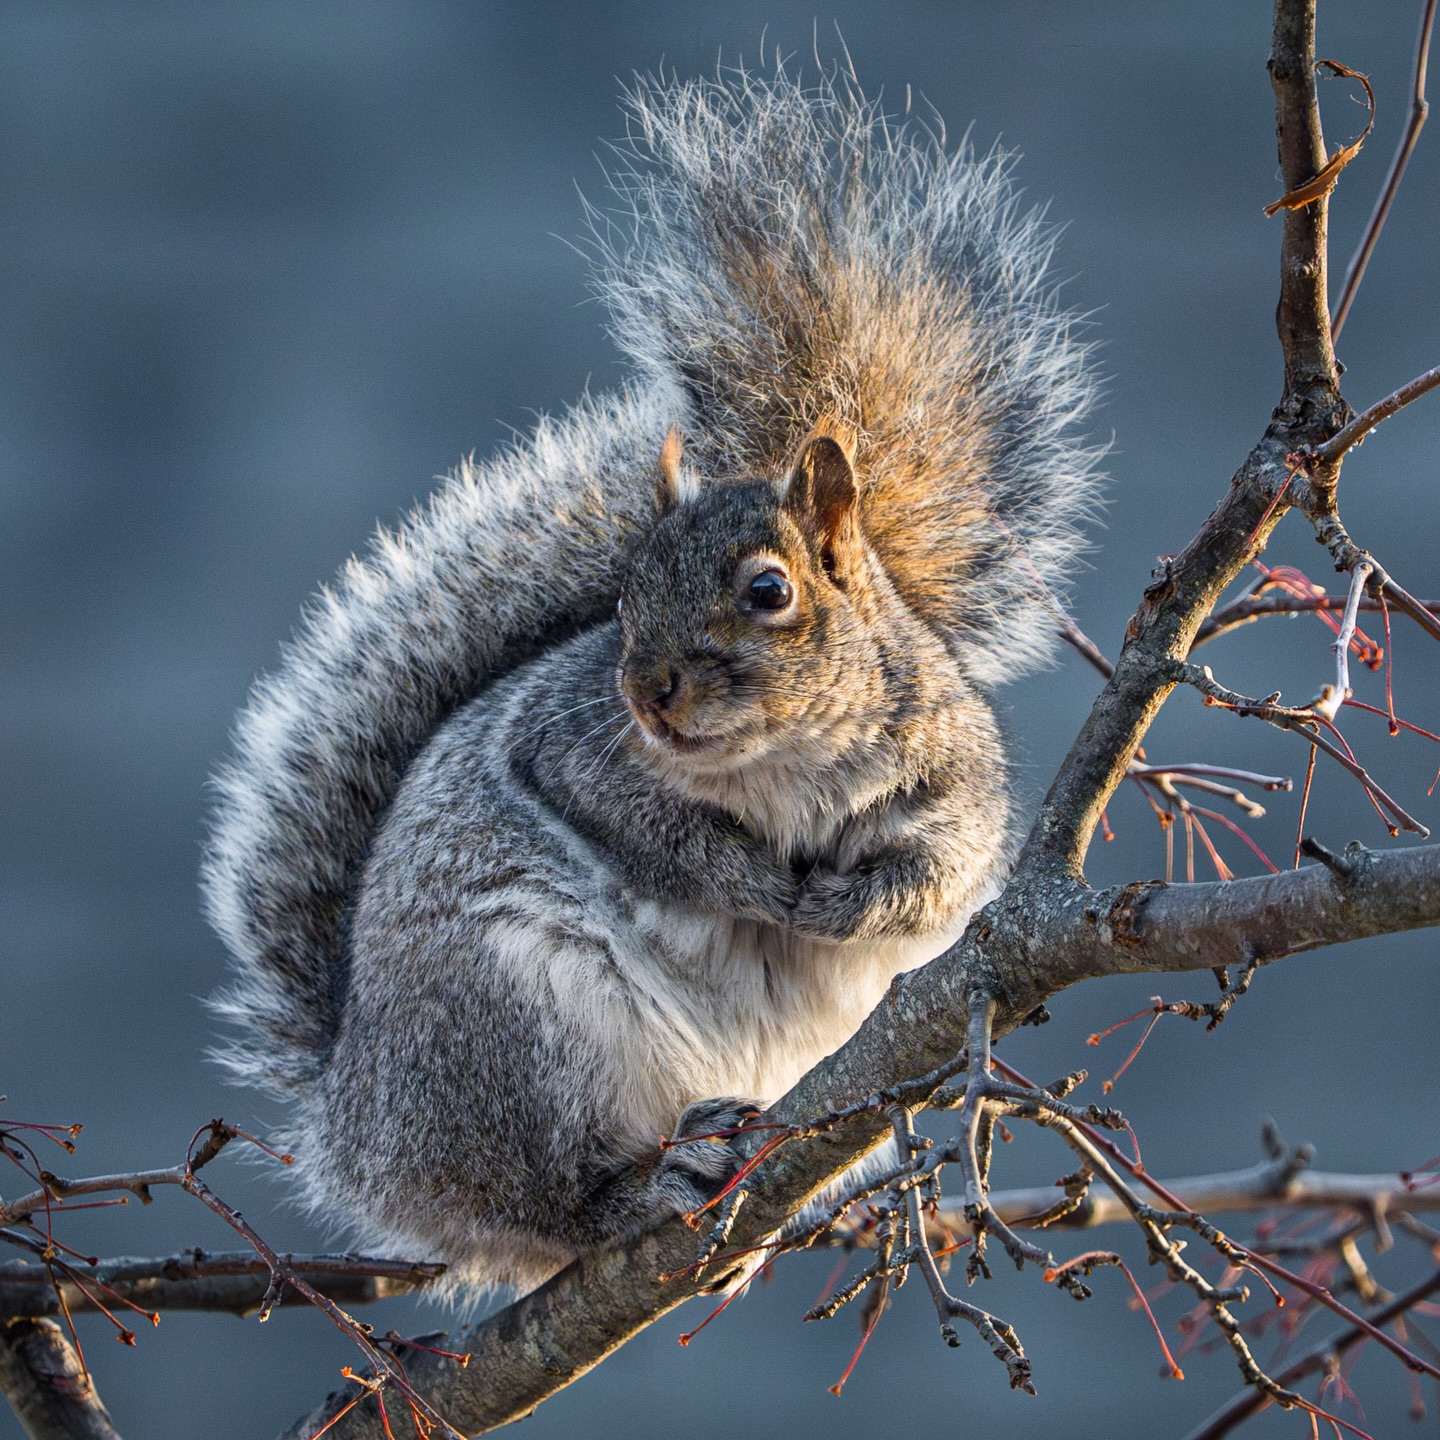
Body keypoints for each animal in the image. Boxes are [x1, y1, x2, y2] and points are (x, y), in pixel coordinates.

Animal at [202, 67, 1099, 1295]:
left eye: (770, 591)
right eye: (621, 600)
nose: (649, 694)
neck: (784, 761)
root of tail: (362, 1134)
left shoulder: (950, 773)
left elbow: (944, 873)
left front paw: (851, 903)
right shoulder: (571, 744)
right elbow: (655, 832)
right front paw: (756, 886)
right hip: (521, 1028)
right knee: (549, 1200)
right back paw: (643, 1184)